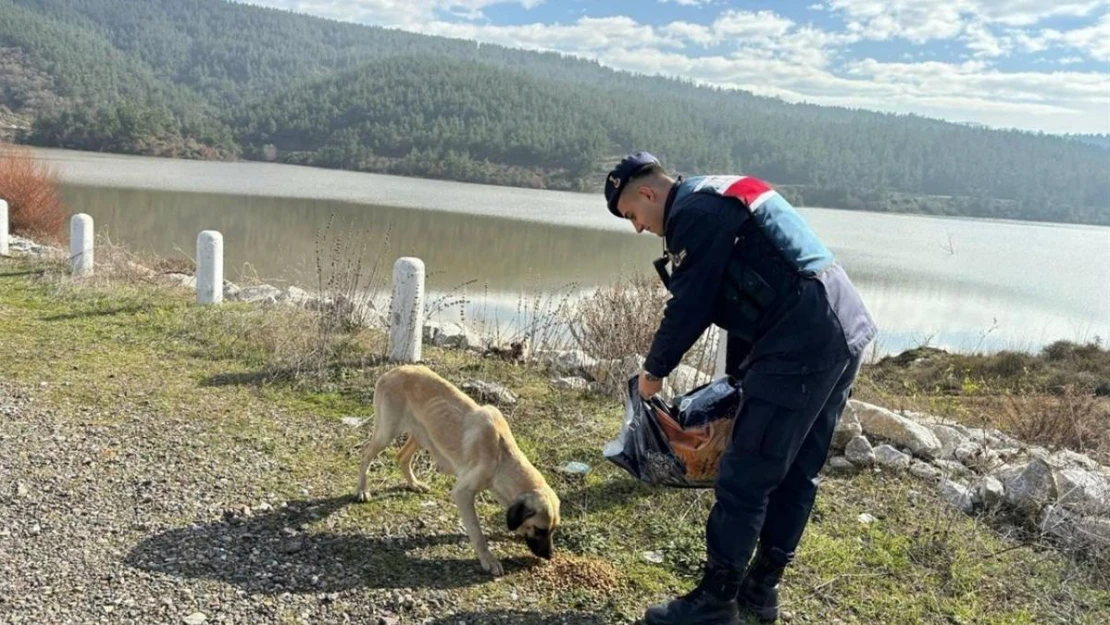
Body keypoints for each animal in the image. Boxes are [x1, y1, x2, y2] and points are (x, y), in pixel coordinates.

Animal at [357, 366, 559, 577]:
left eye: (553, 530)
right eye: (540, 530)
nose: (550, 556)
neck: (502, 457)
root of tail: (392, 371)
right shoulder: (463, 493)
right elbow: (477, 533)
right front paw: (488, 560)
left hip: (422, 435)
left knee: (402, 457)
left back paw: (414, 484)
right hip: (386, 433)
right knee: (366, 456)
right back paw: (362, 489)